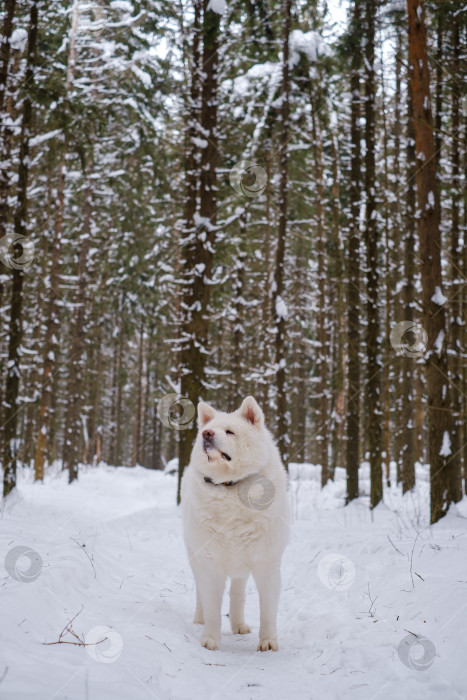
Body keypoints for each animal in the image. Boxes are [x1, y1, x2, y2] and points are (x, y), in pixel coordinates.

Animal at [181, 394, 290, 652]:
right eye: (208, 430)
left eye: (229, 432)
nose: (206, 434)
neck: (231, 487)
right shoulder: (209, 564)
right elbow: (212, 607)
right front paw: (210, 640)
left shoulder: (266, 563)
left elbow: (267, 610)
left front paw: (268, 642)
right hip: (195, 556)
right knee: (200, 592)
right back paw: (199, 619)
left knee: (237, 594)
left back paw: (239, 625)